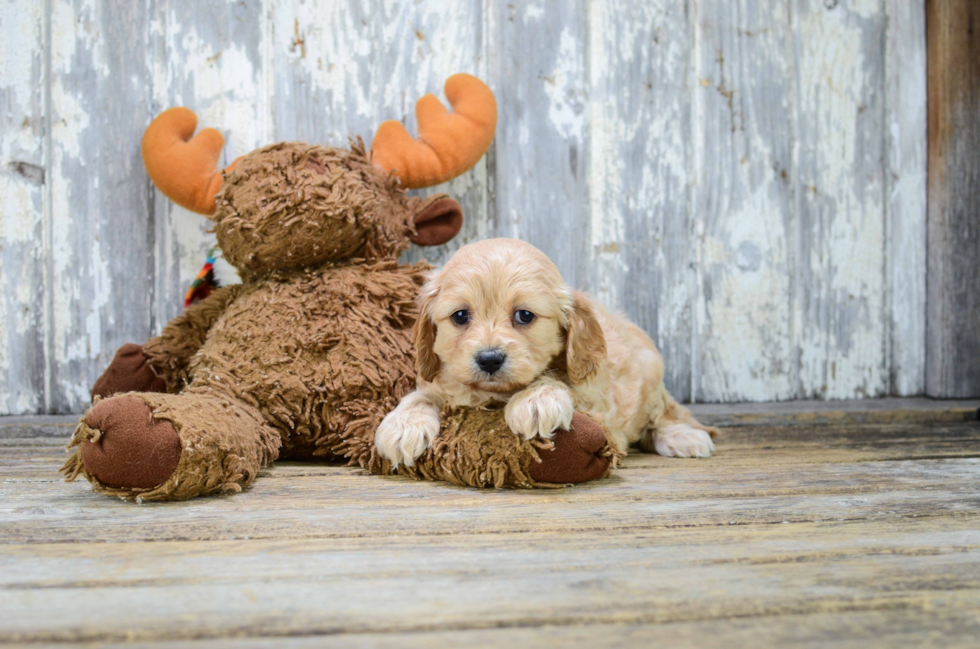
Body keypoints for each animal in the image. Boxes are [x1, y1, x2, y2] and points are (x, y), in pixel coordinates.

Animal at [376, 238, 720, 466]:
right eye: (460, 316)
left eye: (524, 315)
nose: (489, 359)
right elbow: (423, 395)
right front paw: (403, 425)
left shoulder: (597, 403)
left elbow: (557, 380)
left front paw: (536, 400)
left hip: (651, 375)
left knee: (660, 417)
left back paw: (682, 437)